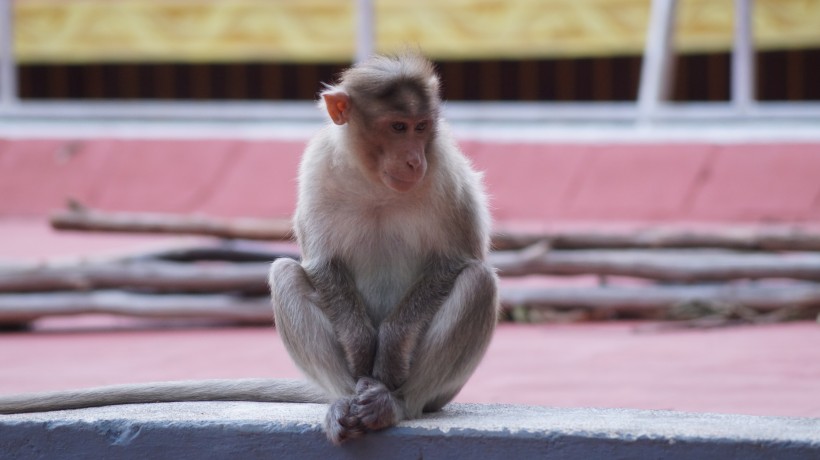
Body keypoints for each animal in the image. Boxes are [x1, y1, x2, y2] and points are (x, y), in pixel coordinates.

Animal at [0, 52, 500, 444]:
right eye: (397, 127)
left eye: (421, 127)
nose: (414, 159)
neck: (374, 182)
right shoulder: (318, 166)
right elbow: (321, 263)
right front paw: (362, 350)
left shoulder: (444, 173)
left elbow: (460, 260)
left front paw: (391, 346)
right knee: (285, 274)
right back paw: (346, 400)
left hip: (443, 393)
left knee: (478, 283)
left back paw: (392, 404)